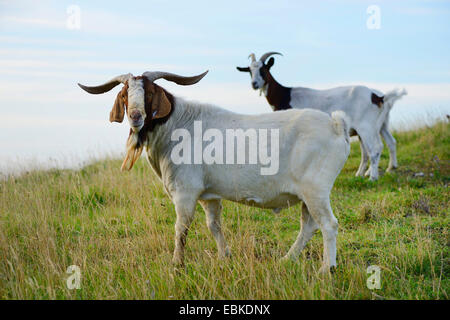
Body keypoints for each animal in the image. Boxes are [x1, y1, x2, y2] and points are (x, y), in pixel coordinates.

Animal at [78, 70, 352, 272]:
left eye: (150, 93)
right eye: (124, 94)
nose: (135, 117)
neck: (178, 126)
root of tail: (336, 124)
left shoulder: (185, 192)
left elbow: (181, 228)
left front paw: (176, 264)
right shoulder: (209, 196)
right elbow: (214, 225)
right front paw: (224, 256)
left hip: (315, 190)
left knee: (328, 224)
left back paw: (326, 269)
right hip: (308, 195)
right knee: (309, 226)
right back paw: (288, 259)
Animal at [237, 52, 406, 180]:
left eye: (264, 70)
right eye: (250, 71)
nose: (254, 84)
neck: (285, 94)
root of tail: (378, 97)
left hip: (367, 126)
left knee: (375, 148)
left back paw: (372, 177)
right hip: (381, 124)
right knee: (389, 142)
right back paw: (386, 169)